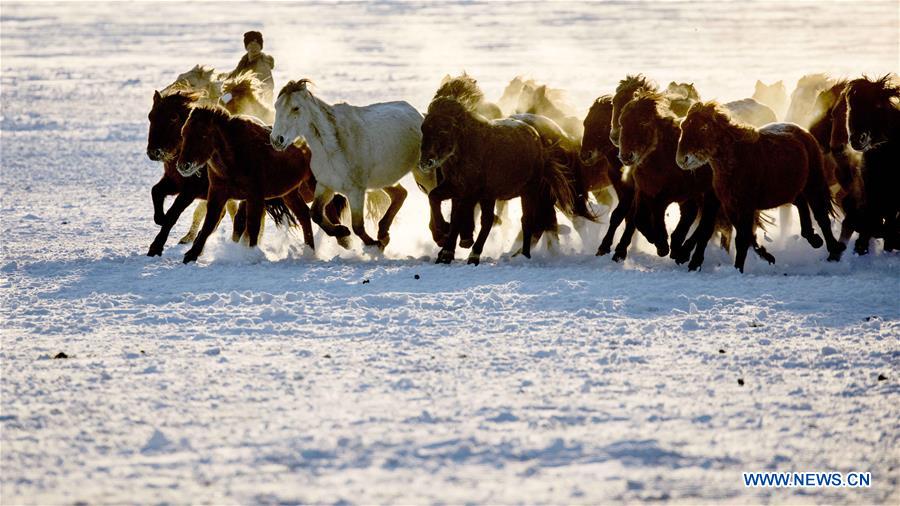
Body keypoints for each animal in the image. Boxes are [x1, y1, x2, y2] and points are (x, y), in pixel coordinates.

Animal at [174, 107, 318, 264]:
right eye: (183, 133)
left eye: (203, 135)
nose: (183, 166)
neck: (234, 158)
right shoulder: (218, 193)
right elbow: (210, 223)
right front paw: (192, 254)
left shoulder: (255, 196)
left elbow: (252, 225)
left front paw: (252, 254)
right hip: (289, 193)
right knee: (304, 214)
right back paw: (310, 251)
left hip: (313, 185)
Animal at [270, 78, 422, 249]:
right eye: (276, 106)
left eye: (296, 108)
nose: (276, 140)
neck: (332, 149)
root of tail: (416, 112)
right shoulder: (325, 185)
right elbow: (315, 214)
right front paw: (342, 232)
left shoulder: (356, 192)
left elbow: (357, 226)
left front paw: (373, 244)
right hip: (384, 179)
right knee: (400, 194)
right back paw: (383, 233)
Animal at [416, 97, 572, 266]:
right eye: (423, 129)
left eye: (443, 131)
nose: (426, 162)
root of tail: (538, 142)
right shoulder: (455, 189)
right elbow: (435, 199)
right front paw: (444, 242)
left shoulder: (470, 193)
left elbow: (458, 218)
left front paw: (445, 244)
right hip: (489, 197)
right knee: (489, 221)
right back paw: (475, 254)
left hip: (529, 192)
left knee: (527, 221)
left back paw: (523, 255)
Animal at [680, 100, 848, 270]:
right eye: (683, 126)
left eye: (703, 128)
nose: (683, 159)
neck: (735, 160)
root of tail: (804, 133)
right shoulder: (728, 205)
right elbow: (743, 235)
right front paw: (767, 256)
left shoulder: (745, 206)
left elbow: (742, 239)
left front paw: (739, 268)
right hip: (788, 190)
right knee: (801, 203)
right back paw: (813, 238)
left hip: (813, 184)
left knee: (821, 216)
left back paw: (833, 250)